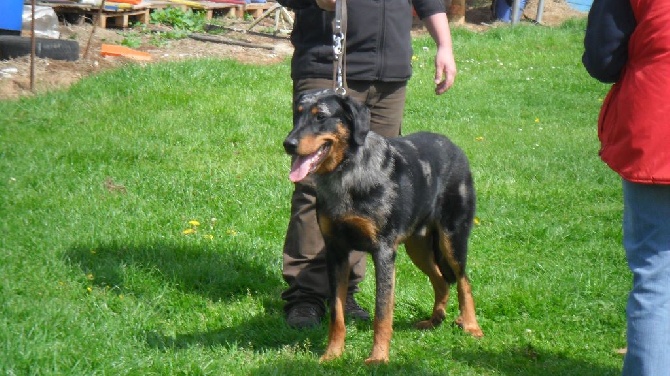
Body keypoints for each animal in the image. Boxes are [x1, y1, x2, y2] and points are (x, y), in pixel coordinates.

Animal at [284, 89, 484, 364]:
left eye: (320, 117)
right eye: (298, 114)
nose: (288, 144)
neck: (347, 172)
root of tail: (455, 148)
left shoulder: (384, 252)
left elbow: (382, 311)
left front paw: (378, 358)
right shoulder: (336, 251)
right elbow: (337, 314)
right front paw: (332, 354)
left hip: (452, 237)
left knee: (464, 281)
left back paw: (471, 326)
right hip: (418, 247)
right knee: (442, 280)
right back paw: (433, 321)